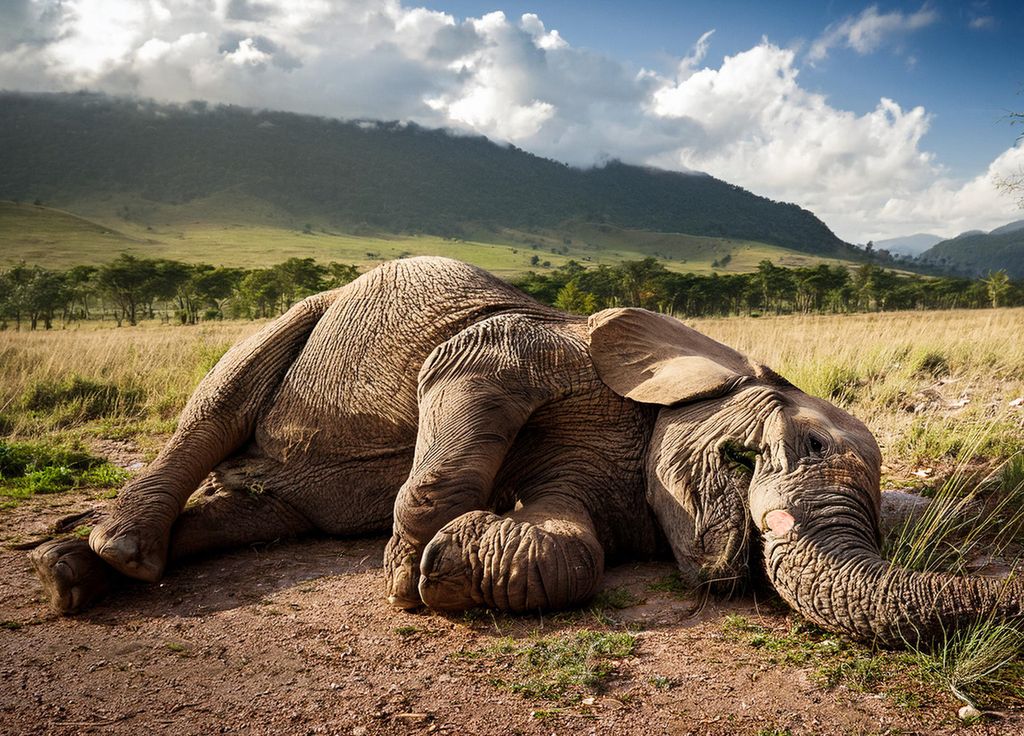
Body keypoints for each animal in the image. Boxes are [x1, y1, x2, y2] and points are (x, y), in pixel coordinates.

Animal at [30, 256, 1021, 645]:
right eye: (797, 441)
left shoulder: (612, 490)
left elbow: (571, 544)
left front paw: (448, 567)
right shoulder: (530, 346)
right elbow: (470, 377)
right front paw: (404, 577)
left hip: (284, 494)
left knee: (264, 516)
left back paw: (76, 575)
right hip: (302, 313)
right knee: (222, 398)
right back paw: (120, 552)